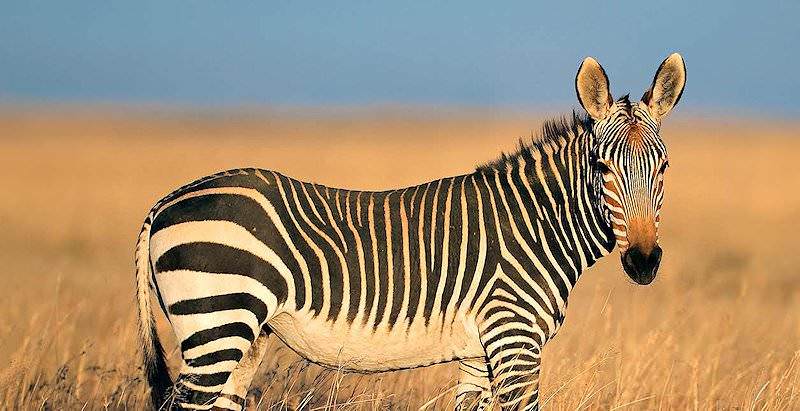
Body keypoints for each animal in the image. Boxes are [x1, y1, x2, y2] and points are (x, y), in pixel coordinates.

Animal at [134, 54, 684, 411]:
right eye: (602, 167)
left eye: (663, 167)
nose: (643, 262)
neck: (536, 224)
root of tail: (165, 201)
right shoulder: (514, 340)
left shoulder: (478, 353)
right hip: (216, 323)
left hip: (244, 339)